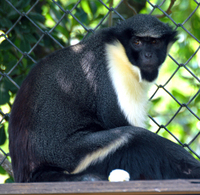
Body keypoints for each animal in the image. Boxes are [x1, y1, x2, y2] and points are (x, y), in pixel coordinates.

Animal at [8, 14, 200, 183]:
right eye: (137, 42)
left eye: (154, 42)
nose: (148, 55)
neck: (120, 53)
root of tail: (31, 174)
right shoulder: (111, 77)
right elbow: (123, 125)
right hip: (78, 156)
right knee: (134, 137)